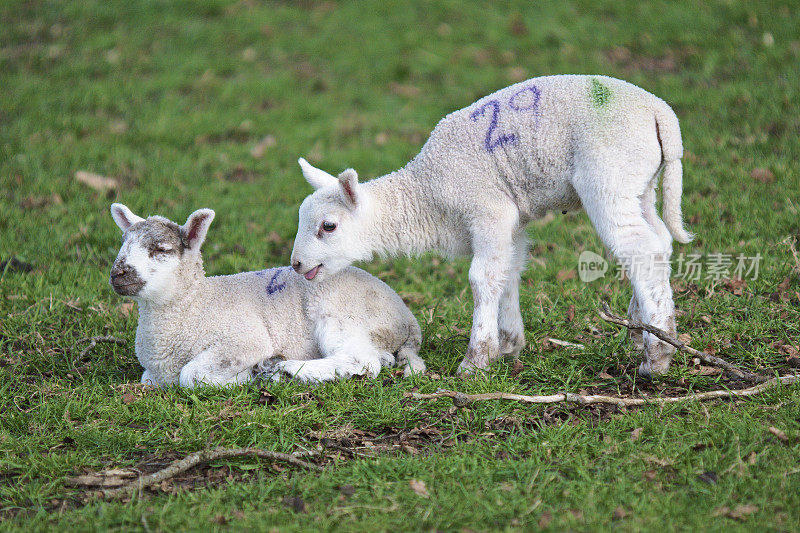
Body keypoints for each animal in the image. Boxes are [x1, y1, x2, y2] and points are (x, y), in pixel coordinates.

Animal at [109, 204, 428, 386]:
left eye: (161, 249)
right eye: (123, 243)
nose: (118, 274)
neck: (197, 305)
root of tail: (407, 318)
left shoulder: (243, 340)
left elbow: (192, 376)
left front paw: (245, 377)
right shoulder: (153, 374)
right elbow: (148, 380)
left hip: (342, 314)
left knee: (362, 362)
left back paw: (284, 370)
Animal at [290, 74, 692, 378]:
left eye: (328, 226)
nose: (295, 264)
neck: (425, 194)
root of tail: (660, 112)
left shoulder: (488, 211)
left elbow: (482, 278)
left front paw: (477, 359)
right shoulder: (512, 222)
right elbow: (508, 271)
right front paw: (510, 342)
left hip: (609, 176)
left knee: (641, 250)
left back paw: (657, 356)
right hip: (641, 184)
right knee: (659, 243)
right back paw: (644, 329)